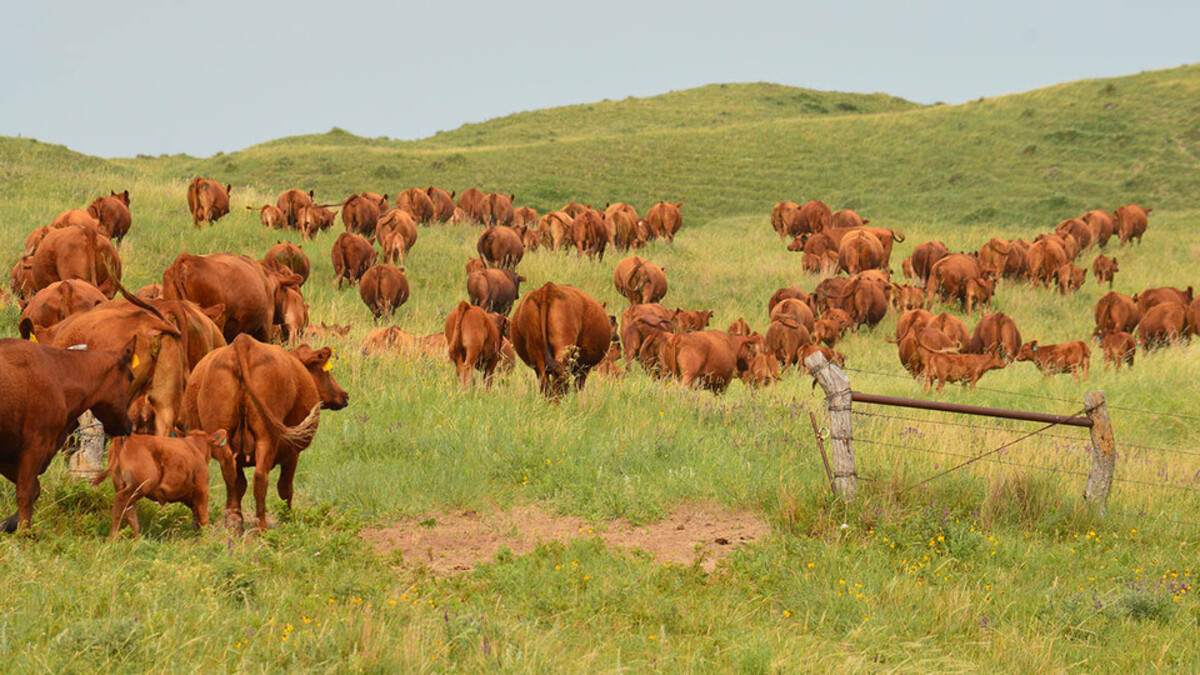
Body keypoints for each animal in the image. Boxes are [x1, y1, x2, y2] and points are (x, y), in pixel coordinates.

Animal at [0, 336, 140, 530]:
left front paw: (9, 523)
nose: (129, 425)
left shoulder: (10, 454)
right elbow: (26, 492)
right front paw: (23, 532)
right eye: (131, 377)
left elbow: (34, 488)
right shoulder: (36, 445)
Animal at [91, 429, 231, 535]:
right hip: (139, 485)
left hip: (122, 485)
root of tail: (128, 437)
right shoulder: (202, 491)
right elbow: (203, 519)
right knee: (121, 503)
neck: (196, 448)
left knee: (129, 511)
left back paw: (137, 540)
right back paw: (113, 538)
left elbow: (196, 520)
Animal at [182, 331, 350, 530]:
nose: (345, 395)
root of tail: (243, 342)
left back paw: (233, 521)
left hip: (224, 436)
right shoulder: (292, 453)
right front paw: (287, 517)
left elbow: (240, 483)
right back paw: (260, 527)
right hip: (267, 437)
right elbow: (285, 487)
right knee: (261, 478)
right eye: (326, 372)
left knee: (230, 474)